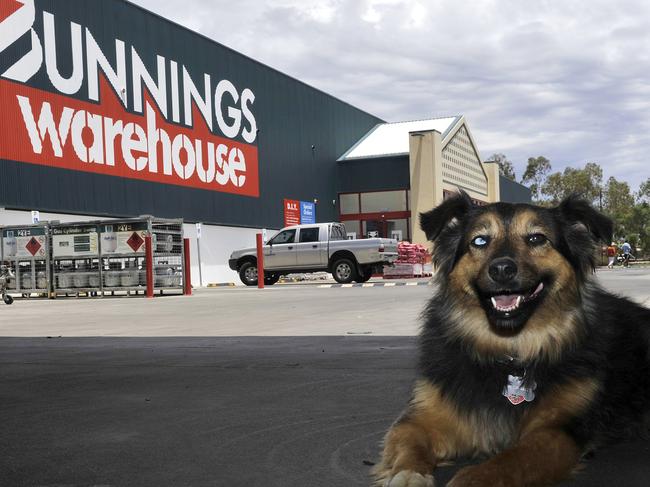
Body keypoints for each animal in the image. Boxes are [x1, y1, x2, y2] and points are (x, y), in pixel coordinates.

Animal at [374, 193, 648, 486]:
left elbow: (511, 460)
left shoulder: (559, 429)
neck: (510, 350)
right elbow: (409, 440)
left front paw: (471, 479)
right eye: (480, 241)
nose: (502, 269)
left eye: (537, 238)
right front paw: (407, 473)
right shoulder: (424, 415)